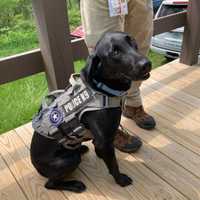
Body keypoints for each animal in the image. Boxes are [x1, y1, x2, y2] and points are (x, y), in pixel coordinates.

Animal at [30, 32, 151, 193]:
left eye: (132, 42)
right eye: (115, 52)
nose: (146, 63)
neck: (103, 88)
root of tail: (34, 165)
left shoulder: (102, 140)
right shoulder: (104, 142)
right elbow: (113, 164)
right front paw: (120, 180)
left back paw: (80, 148)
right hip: (69, 160)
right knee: (49, 184)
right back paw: (74, 185)